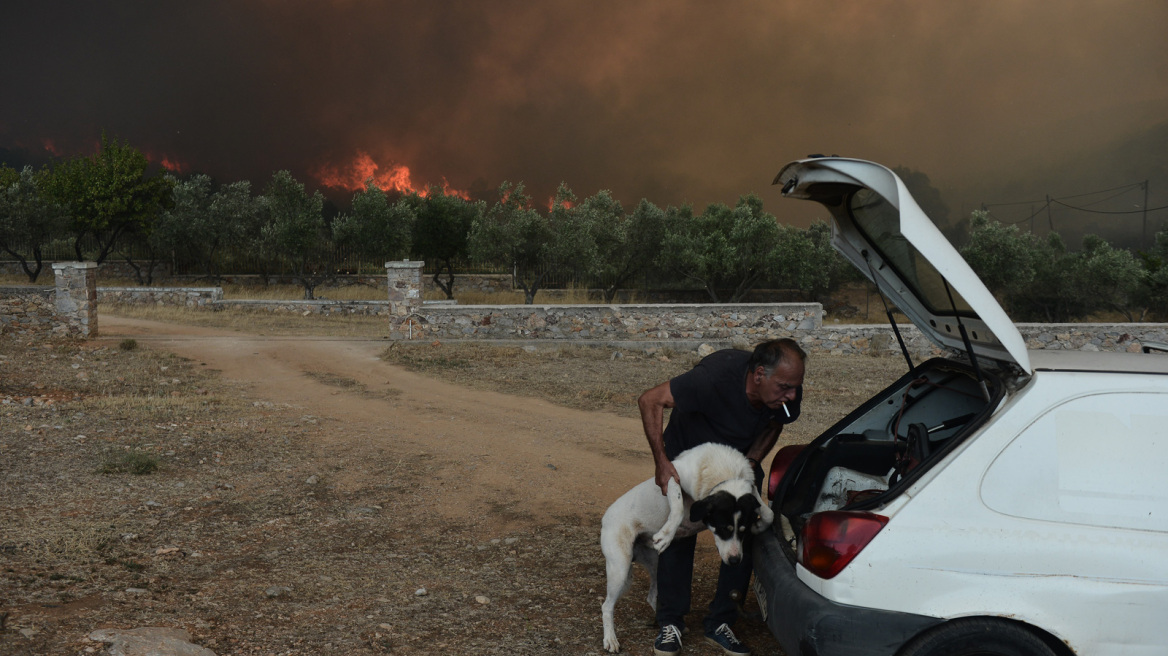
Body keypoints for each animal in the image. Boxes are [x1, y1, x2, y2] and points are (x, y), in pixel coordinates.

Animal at [602, 441, 775, 648]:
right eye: (723, 529)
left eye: (743, 530)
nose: (735, 561)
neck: (724, 472)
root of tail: (605, 517)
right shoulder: (672, 474)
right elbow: (677, 506)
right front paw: (666, 535)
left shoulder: (753, 492)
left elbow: (769, 513)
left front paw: (760, 525)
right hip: (620, 567)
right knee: (607, 606)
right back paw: (610, 639)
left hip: (654, 563)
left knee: (652, 596)